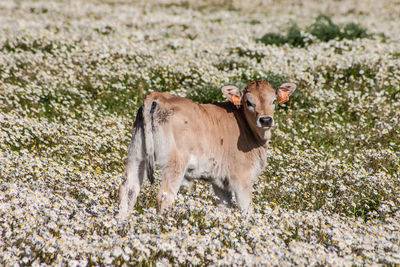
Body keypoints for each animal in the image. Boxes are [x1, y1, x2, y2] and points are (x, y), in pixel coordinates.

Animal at [117, 79, 296, 220]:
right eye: (249, 102)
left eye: (274, 100)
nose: (266, 120)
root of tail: (158, 97)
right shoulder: (242, 177)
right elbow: (247, 210)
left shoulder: (221, 183)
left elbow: (224, 209)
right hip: (175, 163)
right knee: (164, 197)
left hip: (136, 154)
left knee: (128, 189)